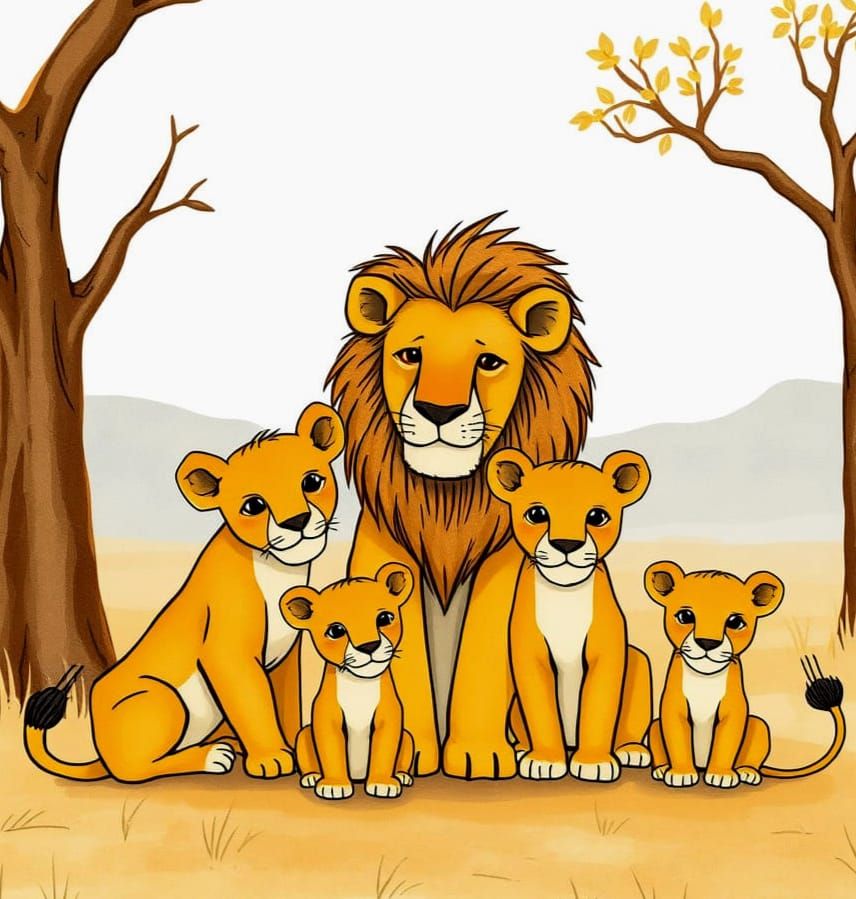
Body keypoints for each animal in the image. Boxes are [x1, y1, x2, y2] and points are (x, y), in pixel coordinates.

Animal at [326, 214, 596, 777]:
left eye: (488, 362)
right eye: (410, 355)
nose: (438, 411)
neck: (449, 499)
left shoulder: (507, 563)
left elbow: (486, 651)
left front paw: (479, 754)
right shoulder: (387, 550)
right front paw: (412, 755)